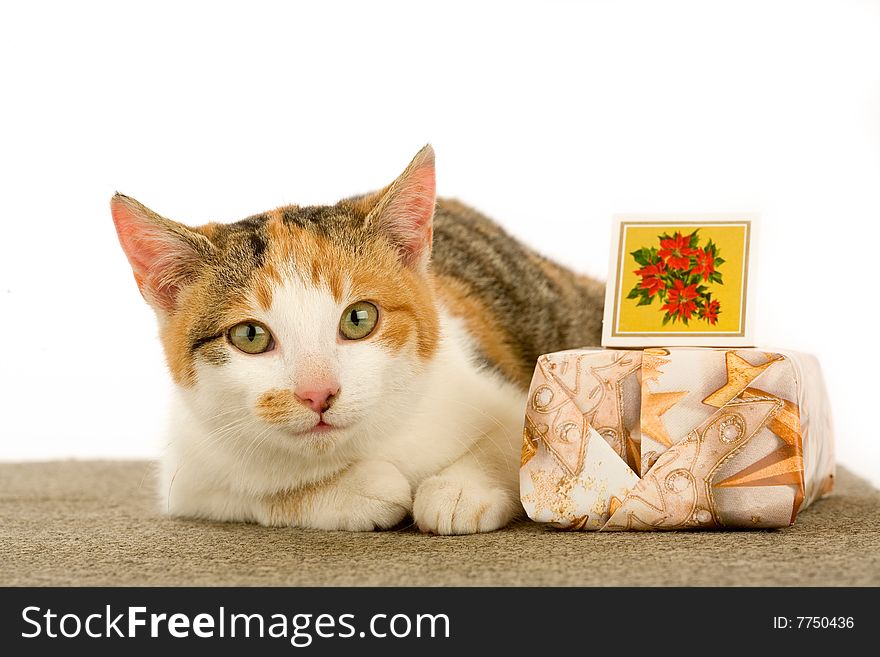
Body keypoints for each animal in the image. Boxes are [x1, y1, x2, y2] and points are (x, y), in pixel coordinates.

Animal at [110, 145, 604, 532]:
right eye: (249, 335)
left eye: (359, 319)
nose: (318, 393)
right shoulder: (189, 474)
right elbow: (257, 494)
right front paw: (358, 489)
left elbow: (517, 441)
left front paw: (459, 490)